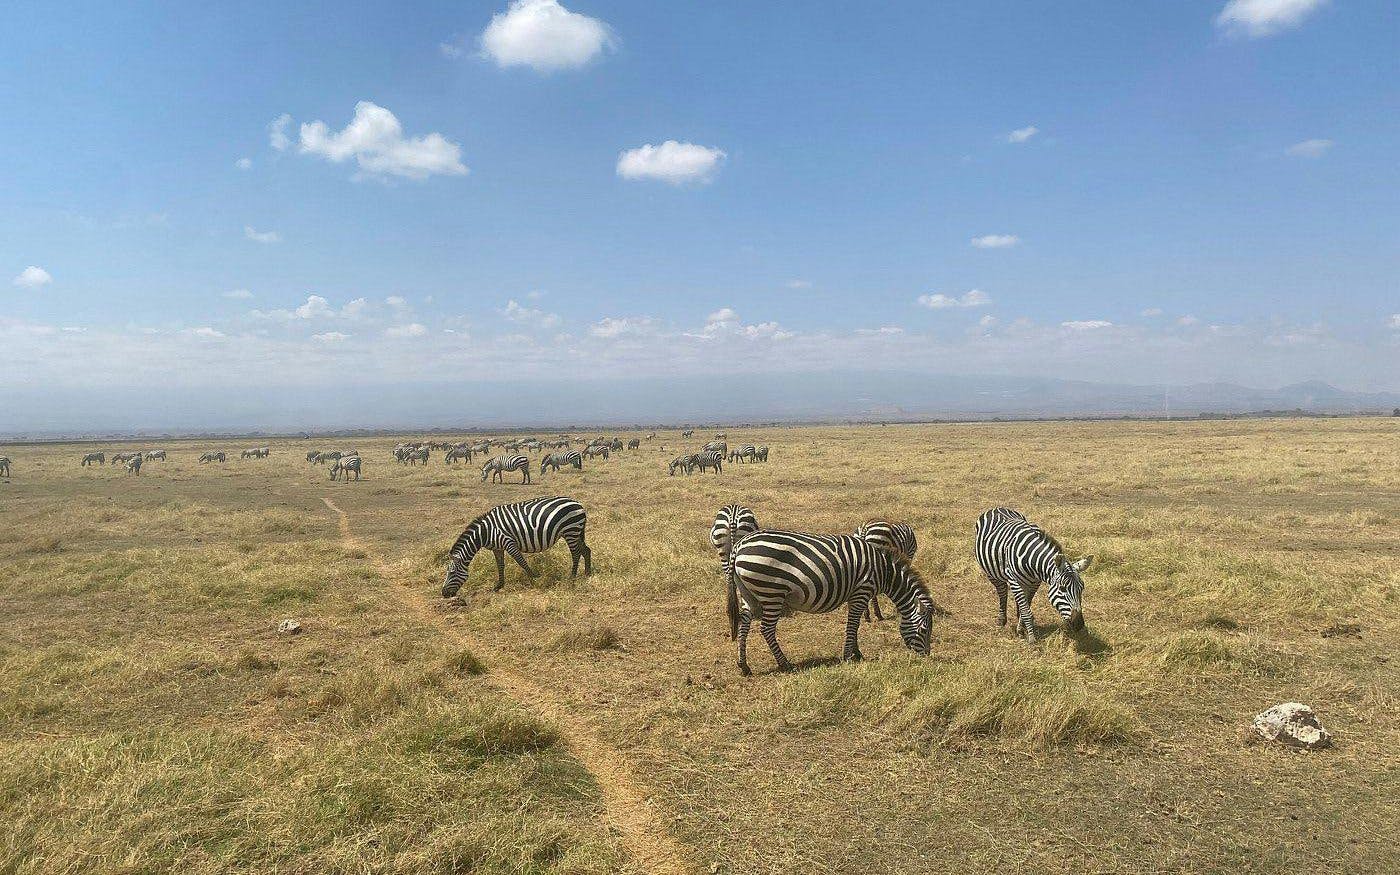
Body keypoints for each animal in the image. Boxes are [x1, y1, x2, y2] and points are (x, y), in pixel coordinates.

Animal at [441, 496, 592, 595]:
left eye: (451, 573)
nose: (443, 593)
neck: (485, 532)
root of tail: (578, 503)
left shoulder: (509, 542)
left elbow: (521, 562)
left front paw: (534, 579)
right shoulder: (497, 548)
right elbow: (500, 565)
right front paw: (499, 586)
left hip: (570, 530)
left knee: (576, 553)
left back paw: (572, 578)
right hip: (576, 532)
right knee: (586, 550)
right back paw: (587, 573)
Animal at [729, 530, 933, 674]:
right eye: (924, 630)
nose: (927, 656)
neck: (884, 572)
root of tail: (738, 545)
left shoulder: (856, 595)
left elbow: (855, 625)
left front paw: (856, 653)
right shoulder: (862, 591)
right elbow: (852, 625)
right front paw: (849, 656)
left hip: (748, 593)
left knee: (744, 624)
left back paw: (744, 666)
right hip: (772, 592)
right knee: (766, 629)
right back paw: (785, 664)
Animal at [974, 508, 1091, 642]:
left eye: (1082, 588)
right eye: (1062, 588)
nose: (1079, 625)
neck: (1032, 560)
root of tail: (998, 507)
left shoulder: (1035, 583)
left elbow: (1026, 606)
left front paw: (1021, 628)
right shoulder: (1014, 580)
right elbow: (1026, 610)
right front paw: (1031, 638)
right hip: (992, 574)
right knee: (1002, 592)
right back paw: (1001, 620)